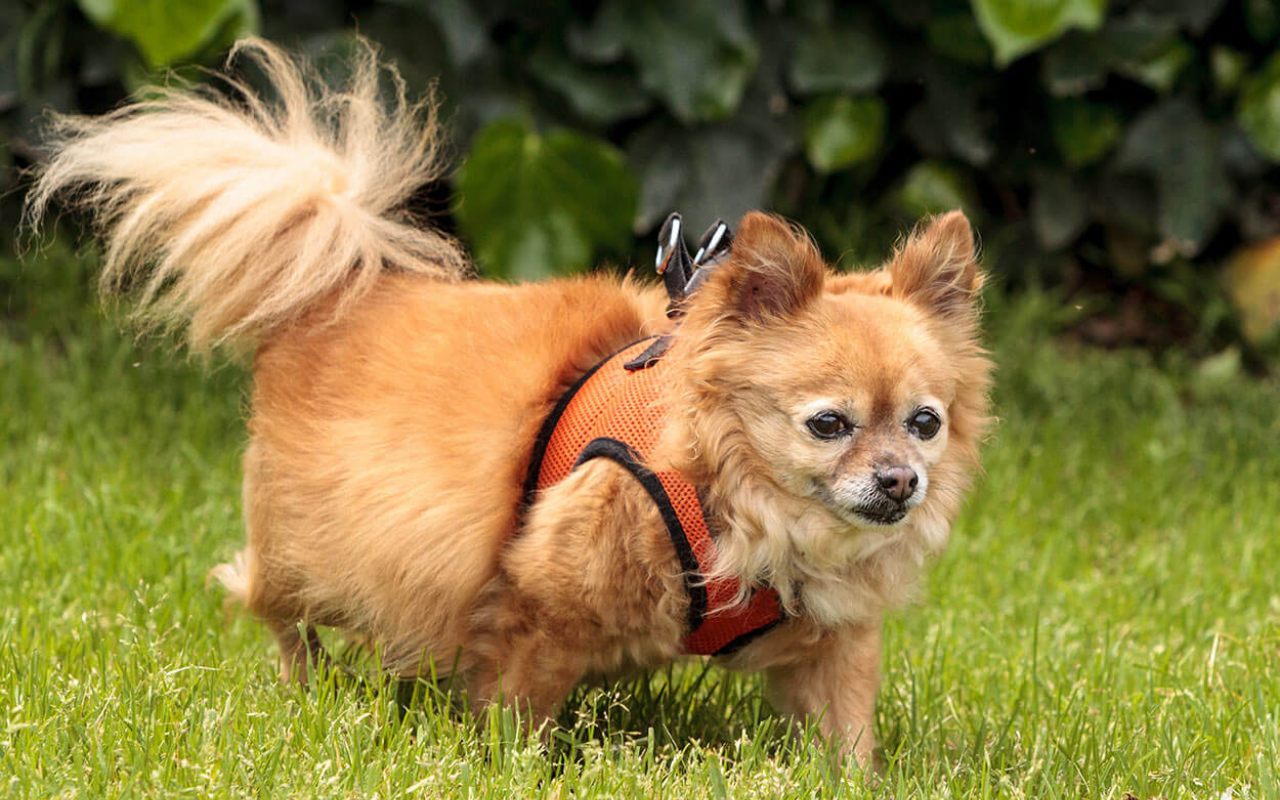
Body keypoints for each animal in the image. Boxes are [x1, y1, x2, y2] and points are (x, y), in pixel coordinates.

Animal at [27, 39, 988, 768]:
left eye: (924, 424)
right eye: (828, 425)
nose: (900, 481)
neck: (739, 504)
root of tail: (338, 290)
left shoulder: (834, 645)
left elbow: (843, 727)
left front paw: (852, 779)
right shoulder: (539, 606)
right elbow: (514, 706)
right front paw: (510, 767)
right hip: (311, 554)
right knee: (272, 610)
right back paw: (307, 691)